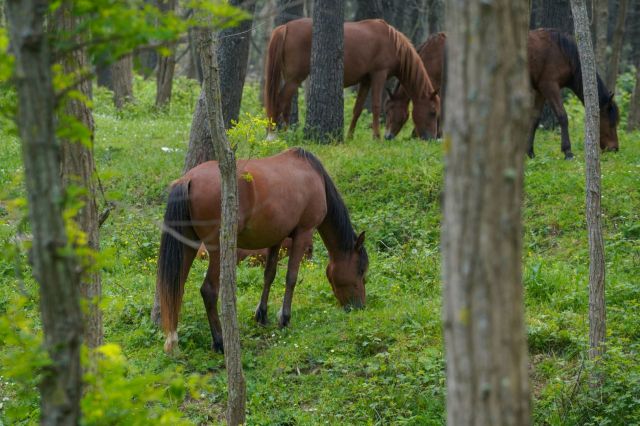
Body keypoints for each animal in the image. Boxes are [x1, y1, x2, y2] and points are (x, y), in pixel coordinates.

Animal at [157, 148, 368, 353]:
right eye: (361, 271)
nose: (359, 306)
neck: (314, 175)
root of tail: (188, 179)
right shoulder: (303, 233)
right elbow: (291, 277)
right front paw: (284, 318)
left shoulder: (276, 238)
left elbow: (269, 275)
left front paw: (262, 315)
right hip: (217, 249)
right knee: (208, 290)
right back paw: (219, 342)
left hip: (188, 245)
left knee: (176, 287)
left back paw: (172, 341)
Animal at [265, 18, 440, 140]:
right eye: (433, 112)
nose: (431, 138)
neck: (392, 42)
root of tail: (286, 27)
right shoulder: (379, 74)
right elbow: (376, 106)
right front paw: (376, 137)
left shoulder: (366, 80)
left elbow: (358, 109)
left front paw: (349, 136)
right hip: (294, 79)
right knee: (280, 102)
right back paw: (273, 135)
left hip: (291, 79)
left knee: (286, 105)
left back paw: (287, 134)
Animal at [384, 29, 620, 159]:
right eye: (612, 122)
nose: (614, 148)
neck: (562, 51)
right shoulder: (550, 86)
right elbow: (562, 116)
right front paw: (568, 152)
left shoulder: (540, 90)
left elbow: (534, 120)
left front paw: (529, 151)